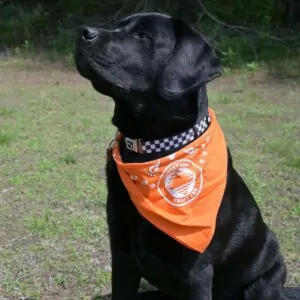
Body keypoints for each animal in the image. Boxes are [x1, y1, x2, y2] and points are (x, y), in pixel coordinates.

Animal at [75, 12, 300, 300]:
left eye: (143, 36)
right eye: (118, 26)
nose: (83, 32)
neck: (152, 149)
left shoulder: (196, 271)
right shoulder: (121, 253)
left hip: (265, 277)